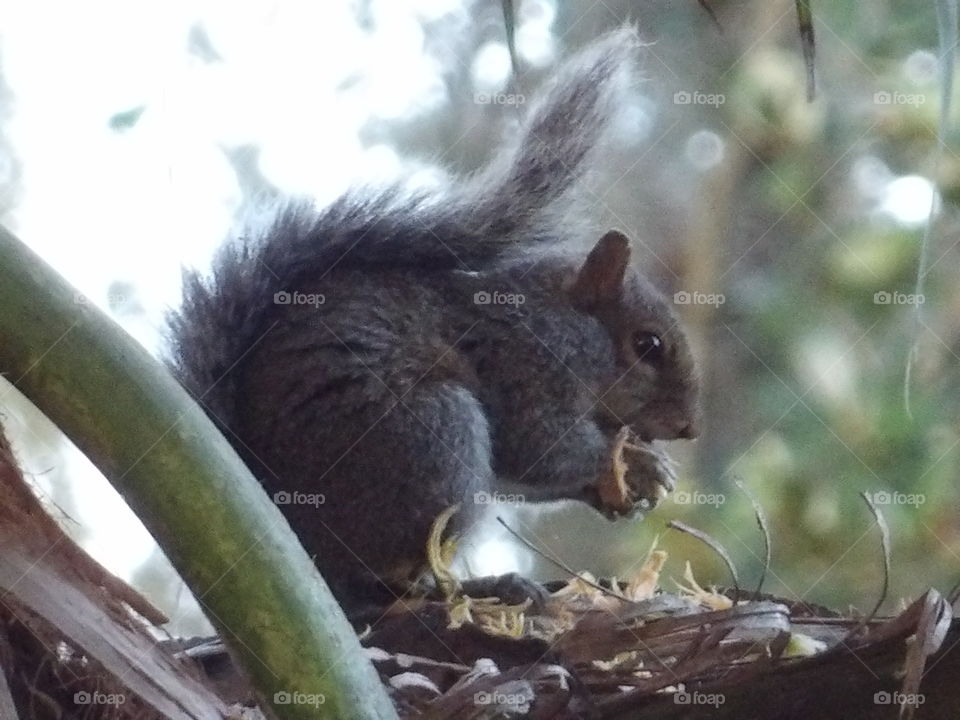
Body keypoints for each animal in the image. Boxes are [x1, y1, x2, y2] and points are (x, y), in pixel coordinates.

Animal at [166, 29, 700, 613]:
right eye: (647, 345)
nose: (688, 427)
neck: (558, 318)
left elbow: (523, 475)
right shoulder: (527, 367)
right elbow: (539, 450)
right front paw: (637, 464)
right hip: (435, 436)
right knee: (383, 583)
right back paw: (484, 587)